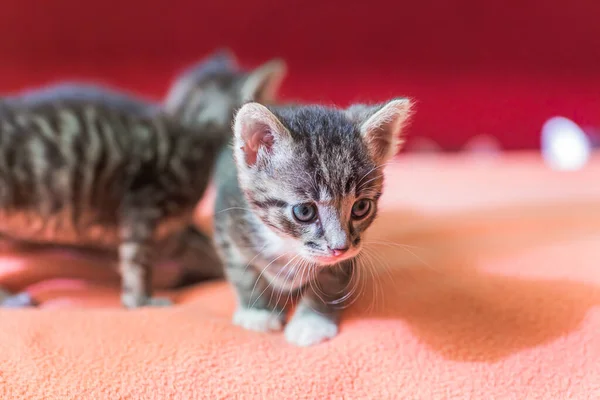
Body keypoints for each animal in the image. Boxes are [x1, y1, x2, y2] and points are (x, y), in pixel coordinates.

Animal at [212, 98, 412, 346]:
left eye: (361, 207)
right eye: (304, 211)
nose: (340, 248)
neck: (288, 246)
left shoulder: (347, 255)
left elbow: (330, 278)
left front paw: (312, 321)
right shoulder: (227, 225)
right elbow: (243, 271)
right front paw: (257, 312)